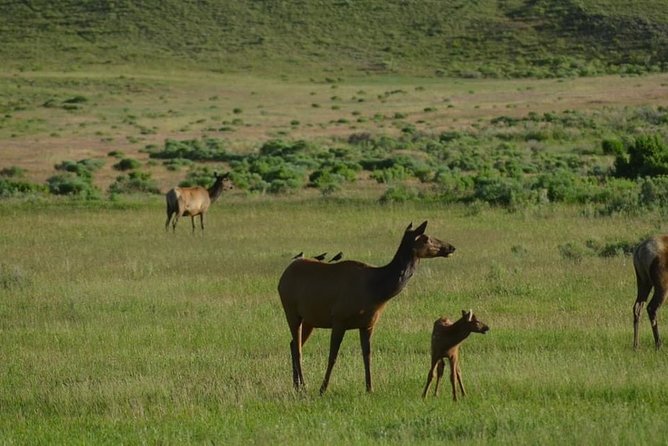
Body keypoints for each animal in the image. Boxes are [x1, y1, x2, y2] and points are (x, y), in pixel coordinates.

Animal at [276, 220, 454, 394]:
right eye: (426, 238)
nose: (451, 247)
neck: (376, 291)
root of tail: (282, 277)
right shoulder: (339, 318)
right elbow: (333, 355)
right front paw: (323, 388)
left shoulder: (368, 324)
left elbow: (367, 355)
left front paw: (370, 388)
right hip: (290, 309)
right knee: (298, 347)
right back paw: (303, 386)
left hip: (309, 319)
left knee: (293, 344)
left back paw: (297, 385)